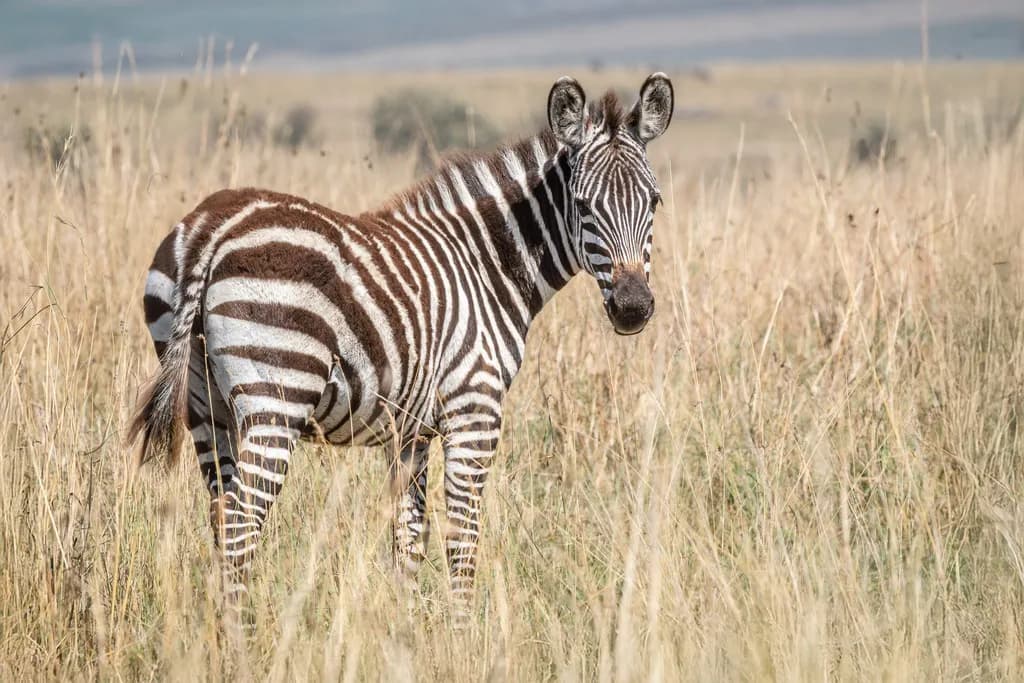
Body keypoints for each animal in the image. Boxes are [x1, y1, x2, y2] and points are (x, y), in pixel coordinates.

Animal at [130, 73, 674, 625]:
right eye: (582, 206)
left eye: (654, 203)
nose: (632, 307)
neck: (484, 267)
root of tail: (209, 228)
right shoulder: (474, 411)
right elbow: (462, 535)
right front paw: (462, 633)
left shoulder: (410, 431)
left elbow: (410, 537)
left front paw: (405, 628)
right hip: (275, 398)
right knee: (241, 528)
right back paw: (245, 637)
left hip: (204, 404)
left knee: (222, 521)